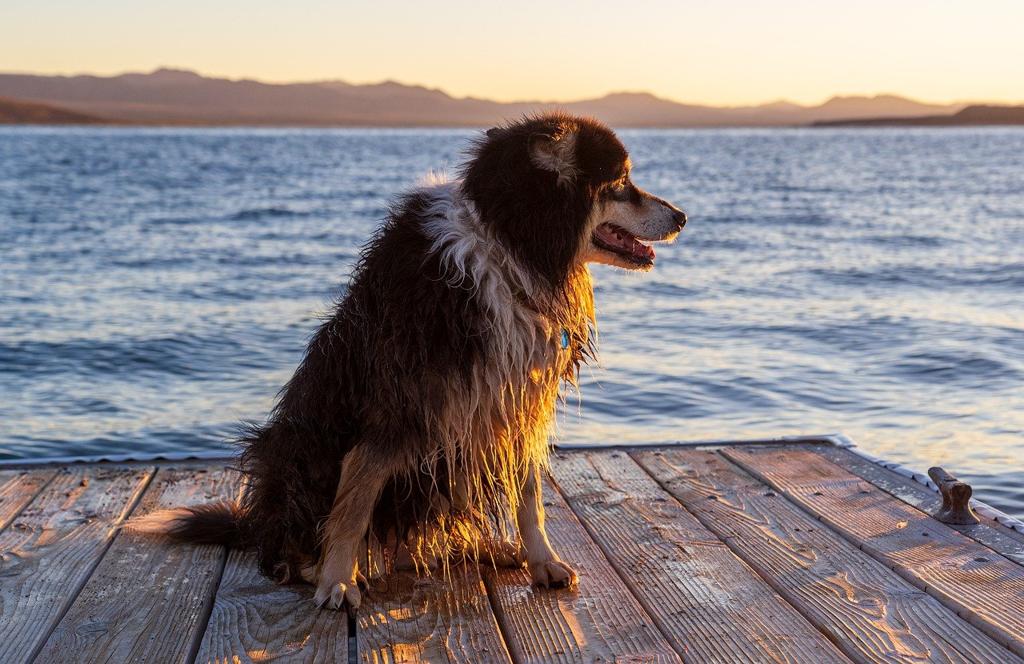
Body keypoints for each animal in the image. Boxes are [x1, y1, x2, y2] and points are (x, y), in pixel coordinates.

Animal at [130, 112, 688, 610]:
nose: (682, 217)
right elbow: (355, 496)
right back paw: (319, 565)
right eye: (621, 183)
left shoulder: (516, 400)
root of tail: (259, 523)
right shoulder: (403, 404)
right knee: (303, 541)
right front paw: (337, 581)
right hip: (300, 452)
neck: (507, 249)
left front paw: (542, 560)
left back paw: (485, 546)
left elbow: (529, 495)